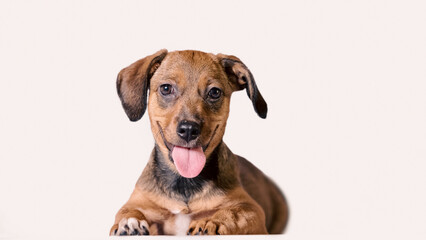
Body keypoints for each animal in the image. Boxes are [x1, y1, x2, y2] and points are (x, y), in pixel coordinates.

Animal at [110, 49, 290, 235]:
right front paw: (129, 223)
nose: (189, 129)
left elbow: (233, 213)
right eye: (166, 88)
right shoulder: (140, 201)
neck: (185, 184)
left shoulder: (252, 209)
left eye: (215, 92)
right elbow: (127, 211)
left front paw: (211, 221)